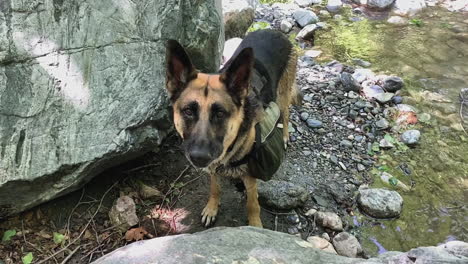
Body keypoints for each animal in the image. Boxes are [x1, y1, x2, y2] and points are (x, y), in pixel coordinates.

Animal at [165, 28, 296, 227]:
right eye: (188, 111)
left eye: (220, 113)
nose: (199, 157)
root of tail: (274, 30)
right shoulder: (213, 167)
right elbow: (215, 188)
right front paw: (212, 207)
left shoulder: (250, 177)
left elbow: (252, 204)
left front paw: (255, 226)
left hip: (283, 95)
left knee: (286, 114)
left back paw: (285, 135)